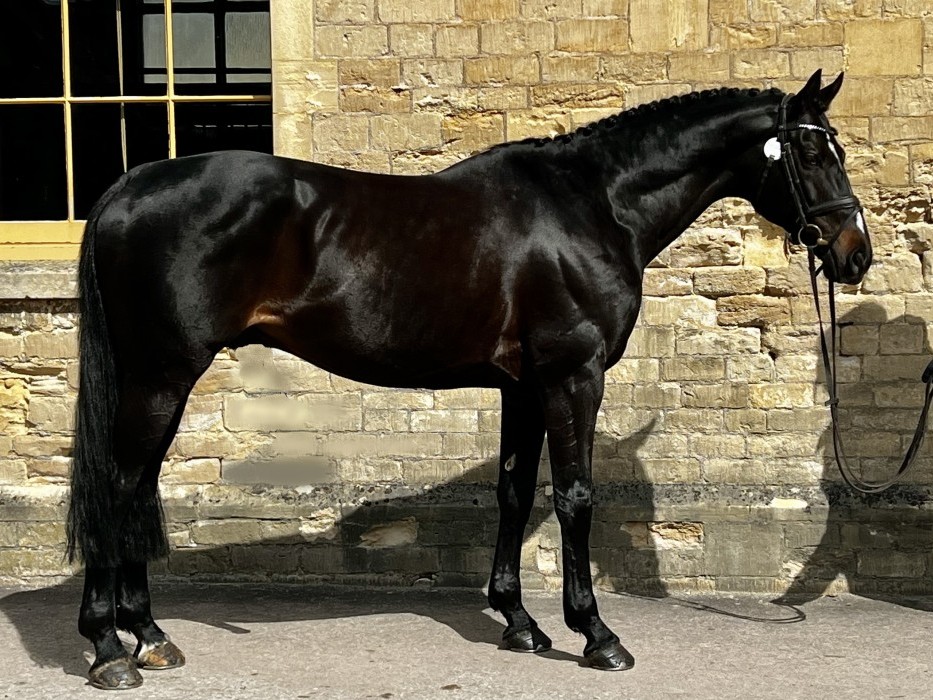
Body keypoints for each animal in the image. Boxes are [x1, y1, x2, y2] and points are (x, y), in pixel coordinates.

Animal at [65, 69, 871, 689]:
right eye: (810, 149)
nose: (853, 253)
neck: (592, 206)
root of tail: (128, 187)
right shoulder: (571, 377)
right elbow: (574, 495)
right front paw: (597, 634)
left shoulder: (522, 386)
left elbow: (514, 490)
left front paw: (519, 623)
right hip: (162, 372)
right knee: (119, 483)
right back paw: (109, 650)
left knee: (137, 483)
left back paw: (150, 635)